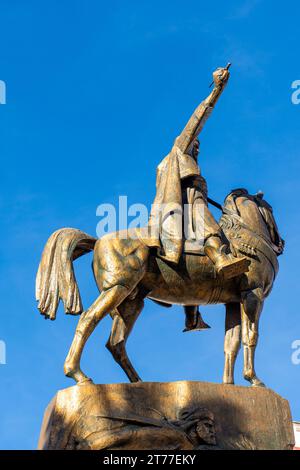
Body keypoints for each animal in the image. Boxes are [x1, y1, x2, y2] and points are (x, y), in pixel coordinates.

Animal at [35, 189, 284, 388]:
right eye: (270, 209)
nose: (280, 243)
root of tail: (97, 241)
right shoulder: (253, 295)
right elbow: (251, 336)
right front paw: (254, 380)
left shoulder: (233, 302)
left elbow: (231, 344)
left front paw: (229, 385)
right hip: (117, 289)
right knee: (88, 319)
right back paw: (78, 375)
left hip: (132, 303)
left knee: (116, 343)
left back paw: (138, 383)